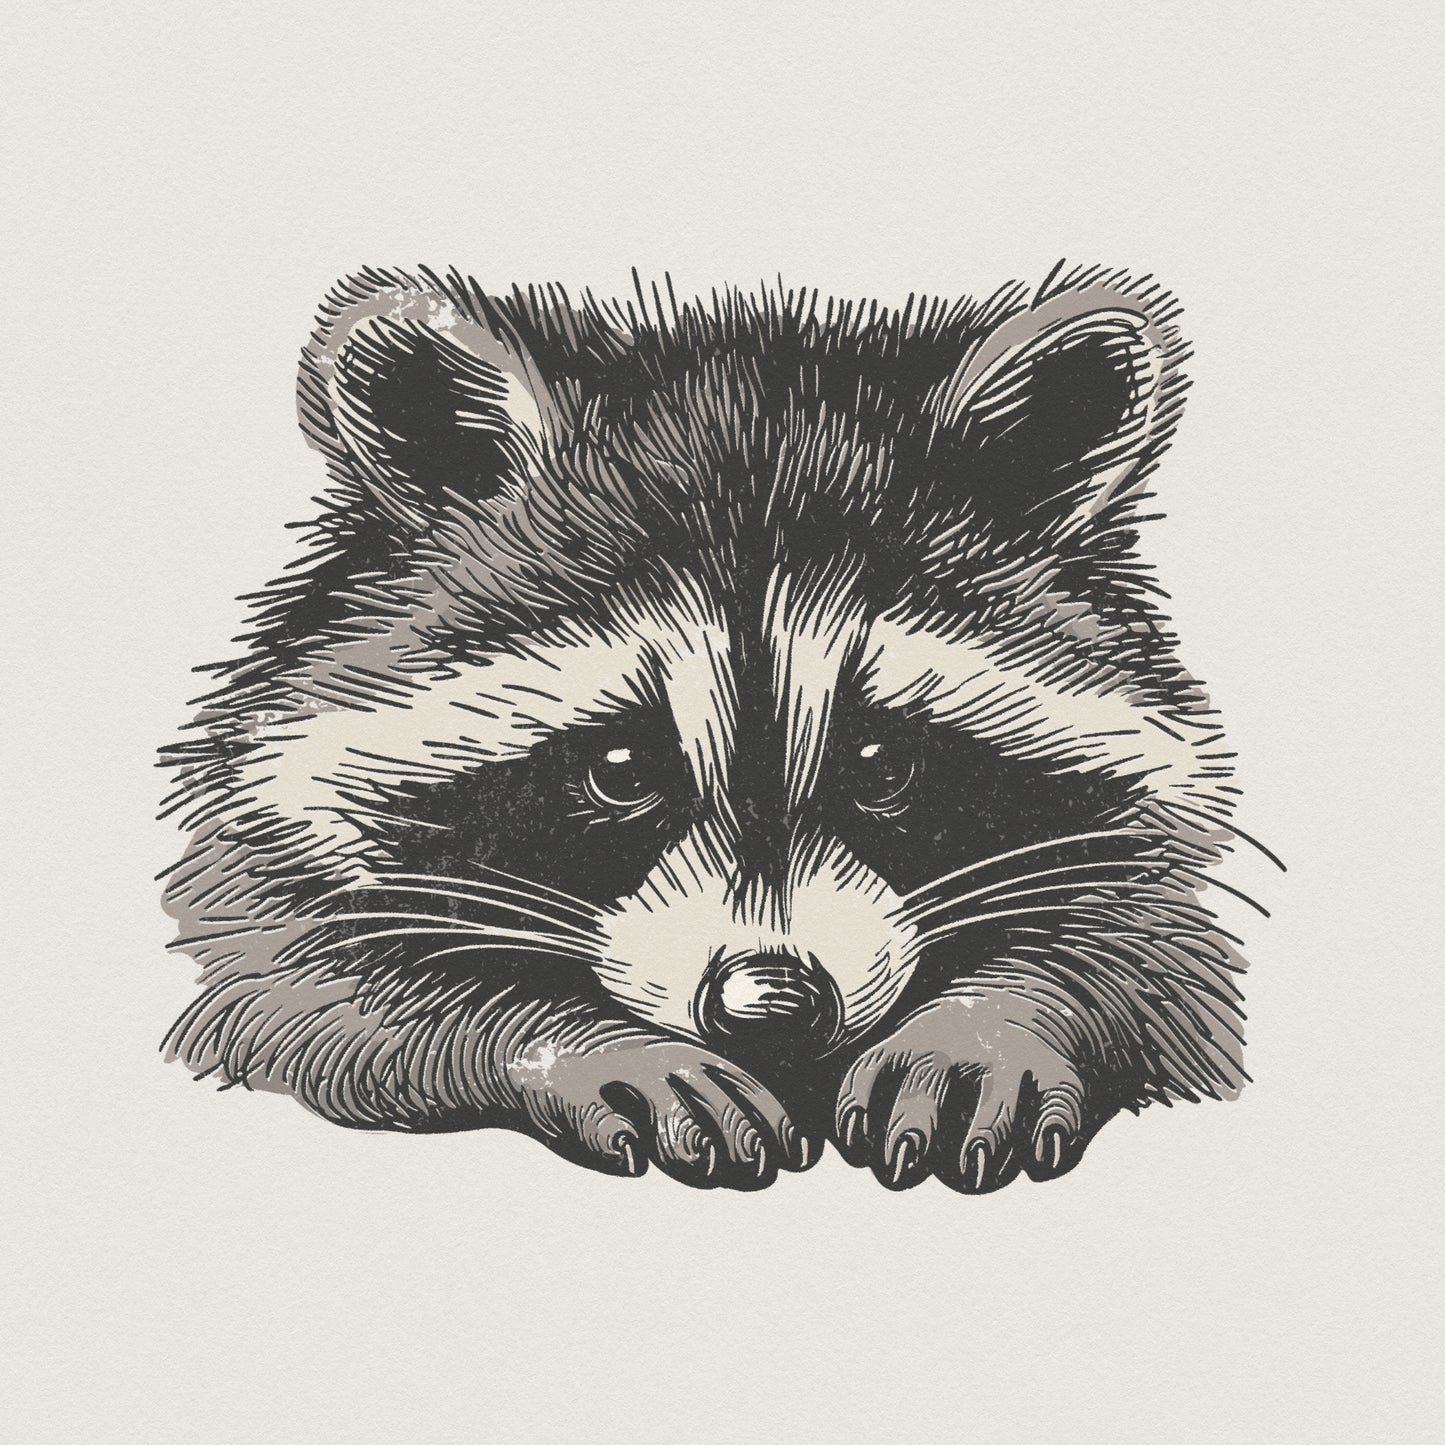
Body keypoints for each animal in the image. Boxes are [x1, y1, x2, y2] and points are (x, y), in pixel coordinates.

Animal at [160, 263, 1252, 1192]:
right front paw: (582, 1042)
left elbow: (1150, 944)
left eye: (880, 763)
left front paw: (987, 1023)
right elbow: (296, 987)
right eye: (618, 766)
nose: (770, 1007)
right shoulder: (263, 853)